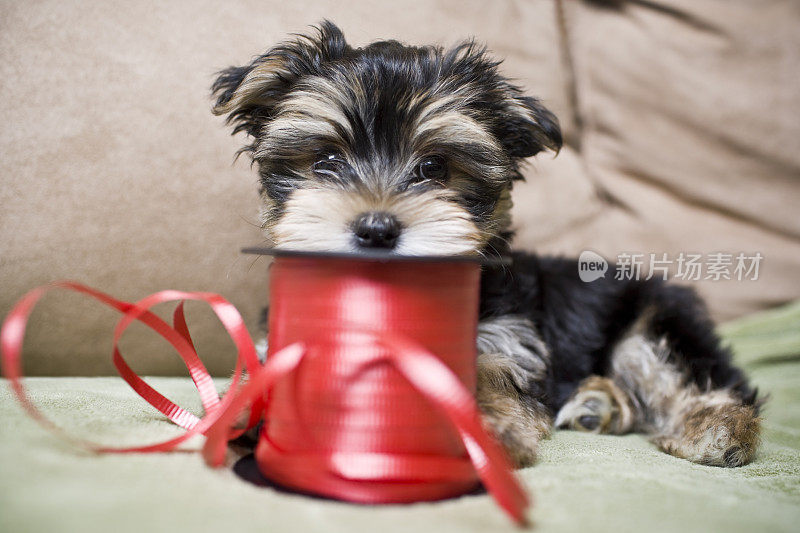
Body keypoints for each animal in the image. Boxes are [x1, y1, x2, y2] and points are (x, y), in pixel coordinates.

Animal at [212, 21, 764, 466]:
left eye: (434, 167)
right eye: (325, 161)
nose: (376, 228)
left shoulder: (508, 339)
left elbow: (489, 374)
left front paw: (486, 428)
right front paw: (250, 410)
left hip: (654, 317)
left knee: (683, 375)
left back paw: (715, 431)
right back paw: (598, 407)